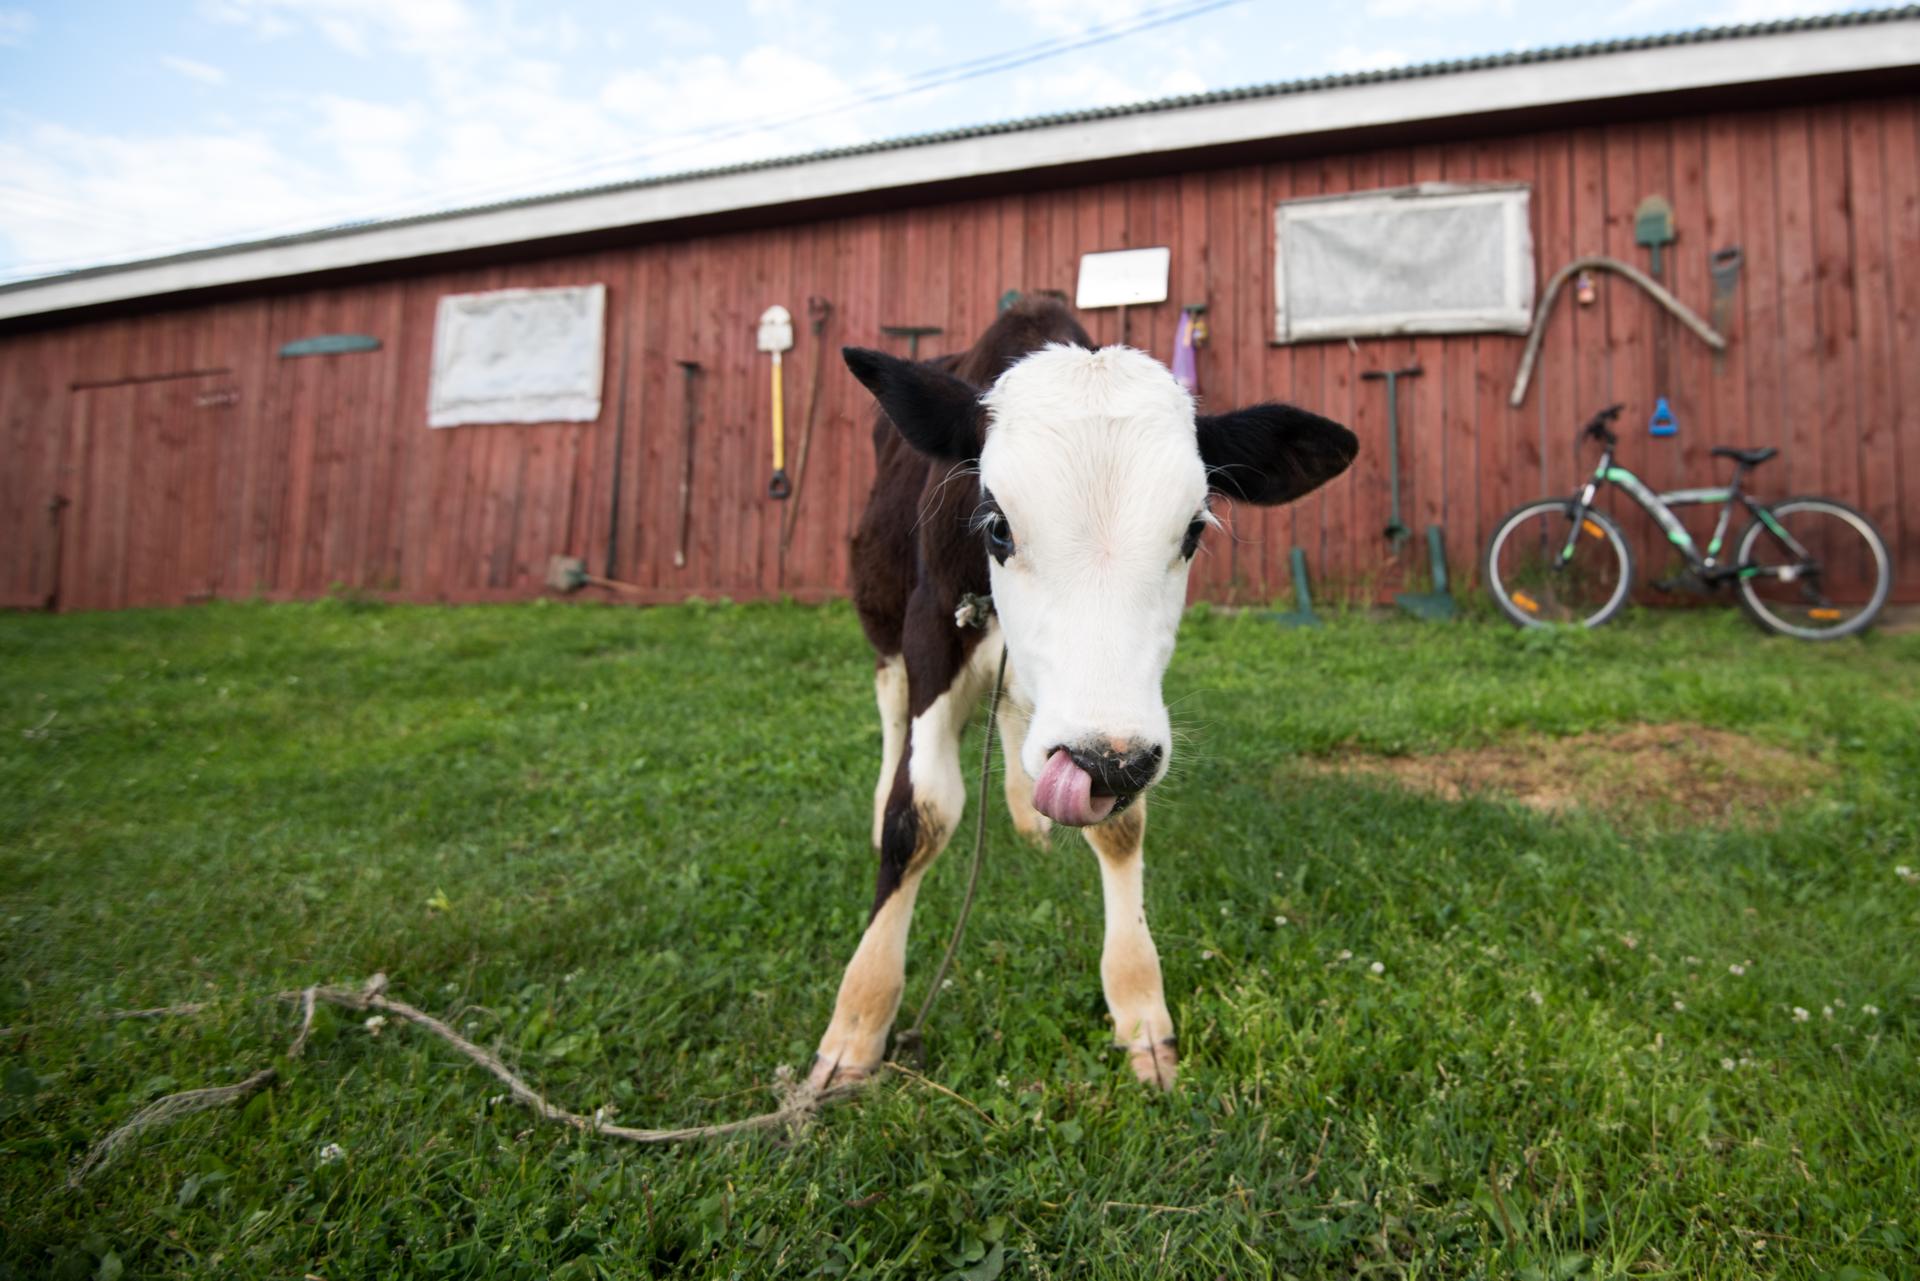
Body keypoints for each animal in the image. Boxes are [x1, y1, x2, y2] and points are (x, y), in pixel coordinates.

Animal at [810, 303, 1351, 1090]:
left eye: (1193, 530)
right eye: (997, 524)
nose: (1105, 765)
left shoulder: (1121, 721)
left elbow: (1123, 827)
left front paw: (1139, 1004)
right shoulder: (931, 632)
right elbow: (922, 812)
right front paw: (858, 1018)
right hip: (879, 617)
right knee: (891, 713)